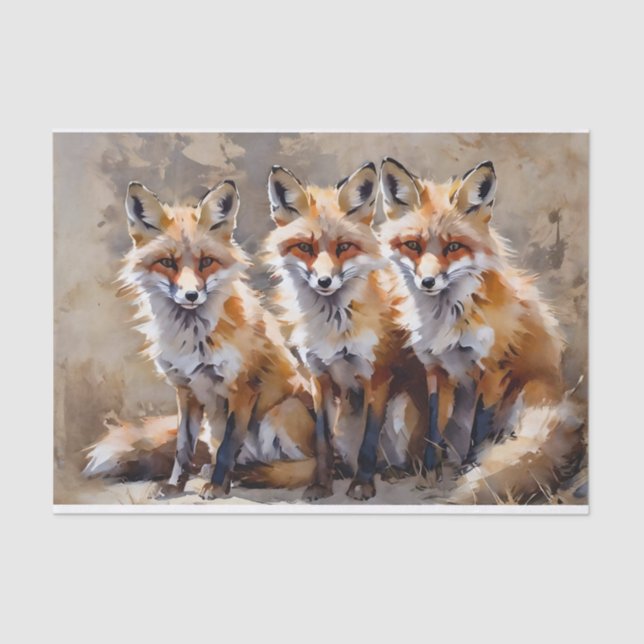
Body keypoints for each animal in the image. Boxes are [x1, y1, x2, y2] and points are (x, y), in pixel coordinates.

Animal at [84, 179, 316, 499]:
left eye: (206, 262)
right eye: (167, 262)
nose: (191, 295)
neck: (192, 339)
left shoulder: (242, 389)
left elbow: (228, 447)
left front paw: (217, 487)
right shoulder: (186, 390)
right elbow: (183, 447)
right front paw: (174, 485)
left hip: (283, 412)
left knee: (300, 467)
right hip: (213, 426)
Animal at [239, 162, 425, 501]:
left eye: (343, 247)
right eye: (305, 247)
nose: (324, 281)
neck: (334, 327)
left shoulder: (376, 377)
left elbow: (368, 443)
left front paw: (362, 486)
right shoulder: (319, 378)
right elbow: (322, 443)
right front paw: (320, 485)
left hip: (403, 406)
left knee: (405, 458)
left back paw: (392, 472)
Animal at [377, 157, 584, 501]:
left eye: (453, 247)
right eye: (413, 245)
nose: (428, 282)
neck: (447, 318)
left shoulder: (493, 369)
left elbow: (480, 431)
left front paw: (470, 471)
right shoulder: (435, 369)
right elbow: (434, 428)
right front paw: (430, 473)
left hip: (528, 396)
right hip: (399, 407)